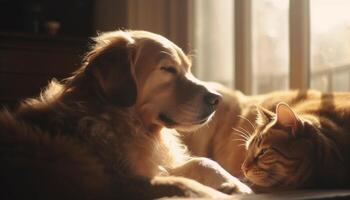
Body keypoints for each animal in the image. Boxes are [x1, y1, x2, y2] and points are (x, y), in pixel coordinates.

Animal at [0, 30, 252, 199]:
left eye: (188, 69)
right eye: (167, 69)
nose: (216, 99)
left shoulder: (152, 165)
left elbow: (204, 160)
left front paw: (235, 184)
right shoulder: (118, 182)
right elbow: (183, 184)